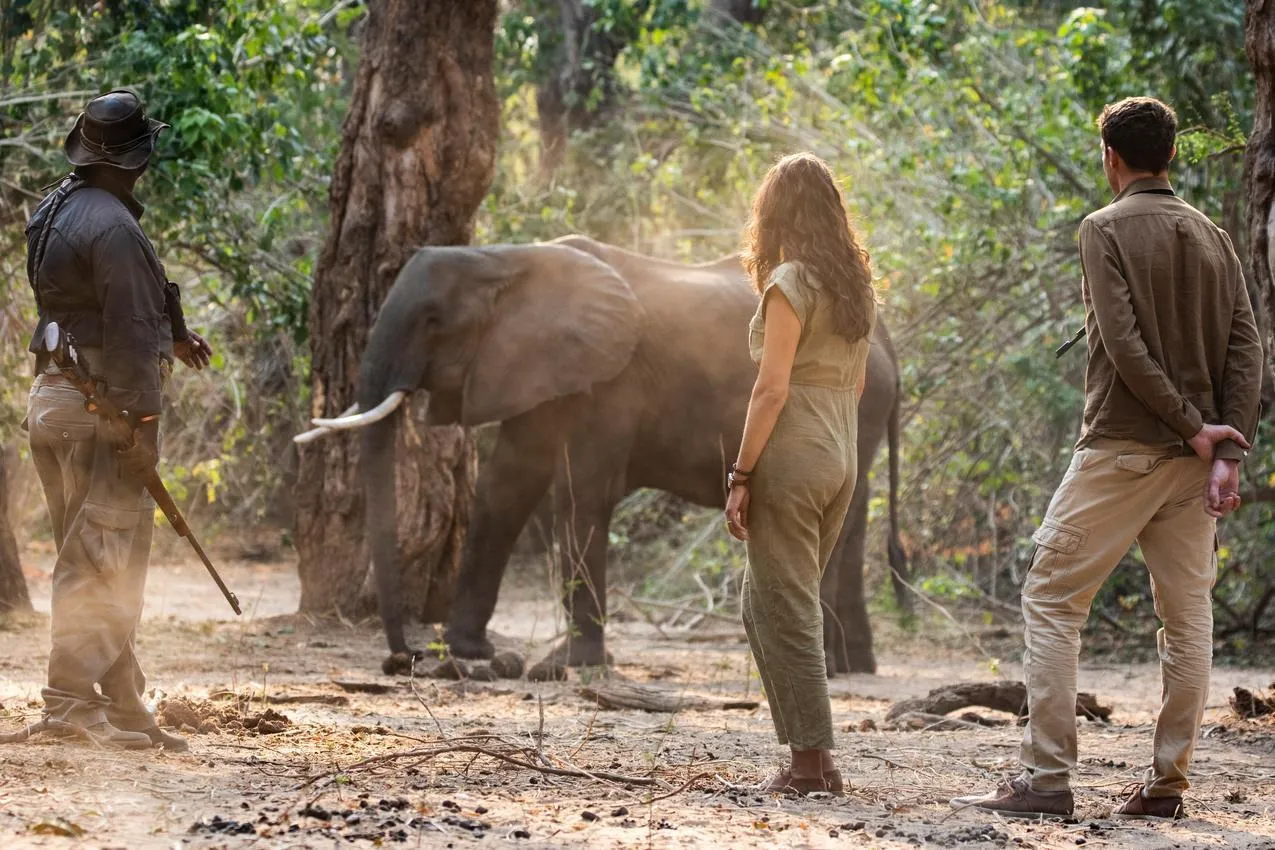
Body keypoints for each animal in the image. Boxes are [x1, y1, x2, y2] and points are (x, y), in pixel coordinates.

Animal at [307, 236, 908, 677]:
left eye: (433, 321)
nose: (402, 657)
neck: (505, 259)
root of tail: (887, 338)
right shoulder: (534, 370)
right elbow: (503, 492)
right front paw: (469, 652)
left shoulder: (611, 381)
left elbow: (579, 496)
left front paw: (567, 666)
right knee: (853, 524)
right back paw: (855, 666)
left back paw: (835, 666)